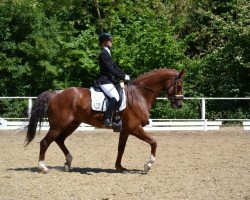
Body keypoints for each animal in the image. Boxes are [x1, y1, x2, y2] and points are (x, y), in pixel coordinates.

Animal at [26, 68, 185, 173]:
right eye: (179, 85)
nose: (179, 105)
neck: (140, 94)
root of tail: (55, 94)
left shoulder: (126, 130)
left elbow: (121, 148)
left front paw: (120, 167)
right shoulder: (134, 127)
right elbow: (153, 142)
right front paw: (148, 165)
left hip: (72, 124)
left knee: (59, 140)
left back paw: (68, 162)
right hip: (58, 125)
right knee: (45, 142)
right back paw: (43, 167)